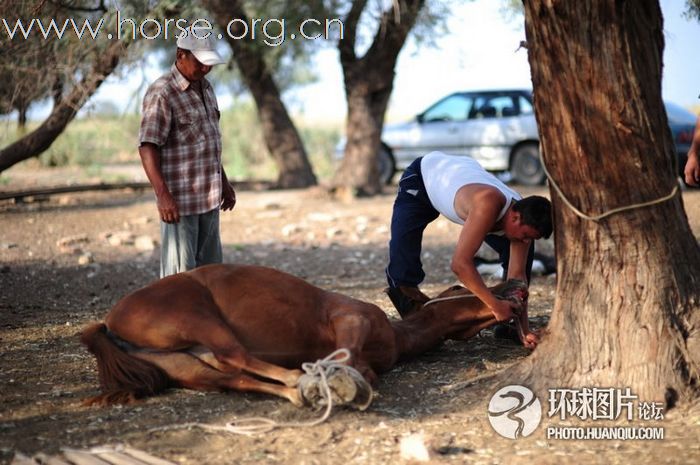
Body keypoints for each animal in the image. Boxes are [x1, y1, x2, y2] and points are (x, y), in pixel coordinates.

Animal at [80, 264, 524, 406]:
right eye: (456, 287)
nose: (515, 287)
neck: (396, 335)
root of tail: (108, 323)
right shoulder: (351, 319)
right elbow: (347, 357)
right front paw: (338, 380)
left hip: (185, 365)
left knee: (233, 378)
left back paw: (298, 391)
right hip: (199, 318)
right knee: (234, 358)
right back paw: (299, 381)